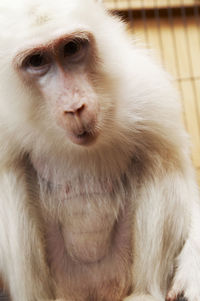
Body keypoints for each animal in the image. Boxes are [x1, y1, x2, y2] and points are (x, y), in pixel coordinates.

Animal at [0, 0, 200, 300]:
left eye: (71, 48)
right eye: (36, 61)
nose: (75, 107)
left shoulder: (151, 95)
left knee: (160, 160)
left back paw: (144, 292)